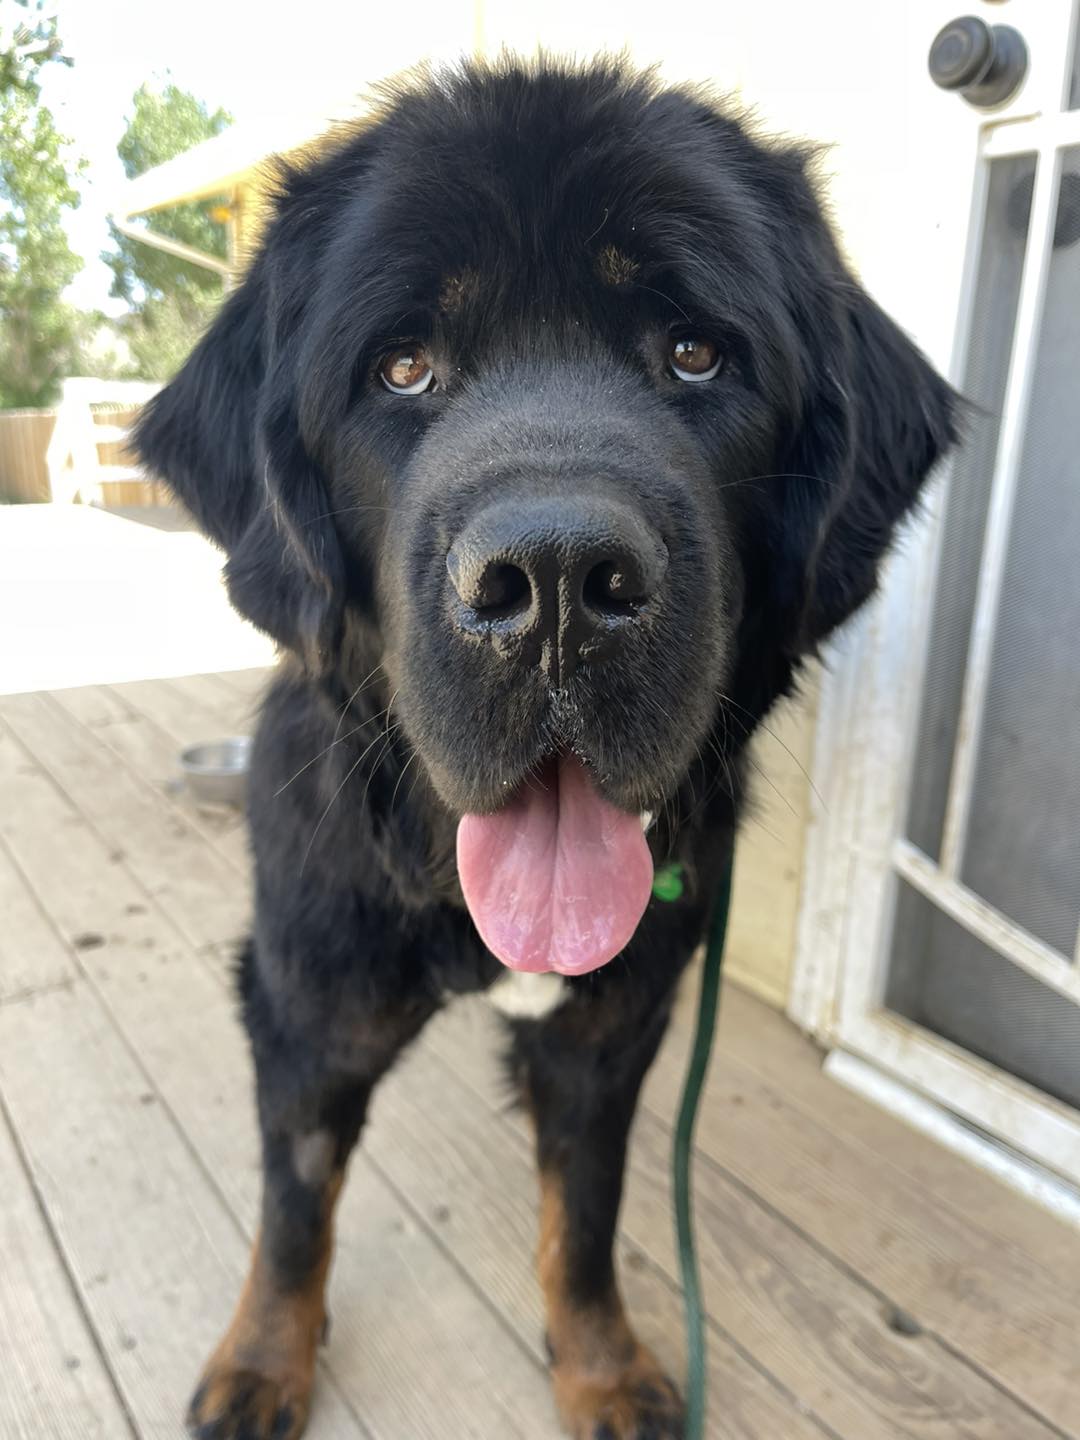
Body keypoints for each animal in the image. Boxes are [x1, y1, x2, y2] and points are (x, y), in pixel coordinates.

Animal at [135, 56, 956, 1440]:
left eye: (695, 353)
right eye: (403, 366)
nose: (562, 583)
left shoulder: (611, 1032)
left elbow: (587, 1217)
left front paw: (604, 1369)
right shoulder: (312, 1003)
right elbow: (297, 1204)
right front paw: (262, 1363)